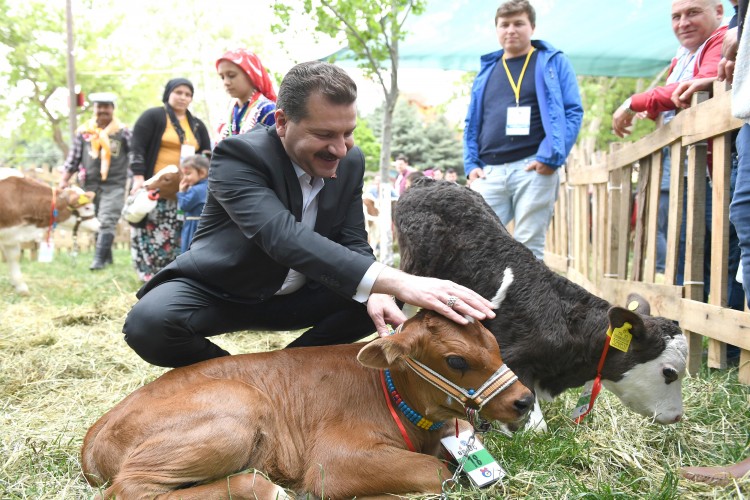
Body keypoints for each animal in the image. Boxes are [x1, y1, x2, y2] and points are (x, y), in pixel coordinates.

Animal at [82, 310, 536, 498]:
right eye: (456, 360)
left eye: (495, 344)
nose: (525, 400)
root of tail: (93, 437)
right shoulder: (332, 463)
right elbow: (437, 473)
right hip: (233, 413)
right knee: (128, 491)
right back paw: (263, 490)